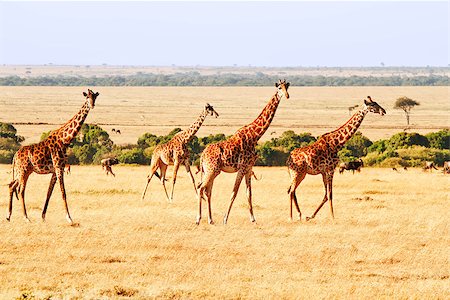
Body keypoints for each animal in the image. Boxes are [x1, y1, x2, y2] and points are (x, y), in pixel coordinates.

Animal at [6, 89, 99, 223]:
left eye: (94, 97)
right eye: (87, 97)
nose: (92, 105)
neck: (65, 140)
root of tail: (15, 156)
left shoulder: (56, 170)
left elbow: (49, 192)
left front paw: (43, 216)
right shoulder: (59, 167)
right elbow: (63, 192)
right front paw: (69, 218)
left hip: (24, 171)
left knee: (12, 185)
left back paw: (9, 216)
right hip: (23, 170)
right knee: (21, 190)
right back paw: (26, 217)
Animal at [196, 78, 288, 224]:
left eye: (287, 87)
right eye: (279, 88)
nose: (286, 95)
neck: (256, 135)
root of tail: (202, 155)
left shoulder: (249, 168)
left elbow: (249, 193)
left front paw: (253, 219)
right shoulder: (242, 167)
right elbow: (234, 192)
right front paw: (225, 219)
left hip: (210, 171)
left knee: (206, 190)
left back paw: (210, 220)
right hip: (211, 170)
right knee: (200, 188)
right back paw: (198, 219)